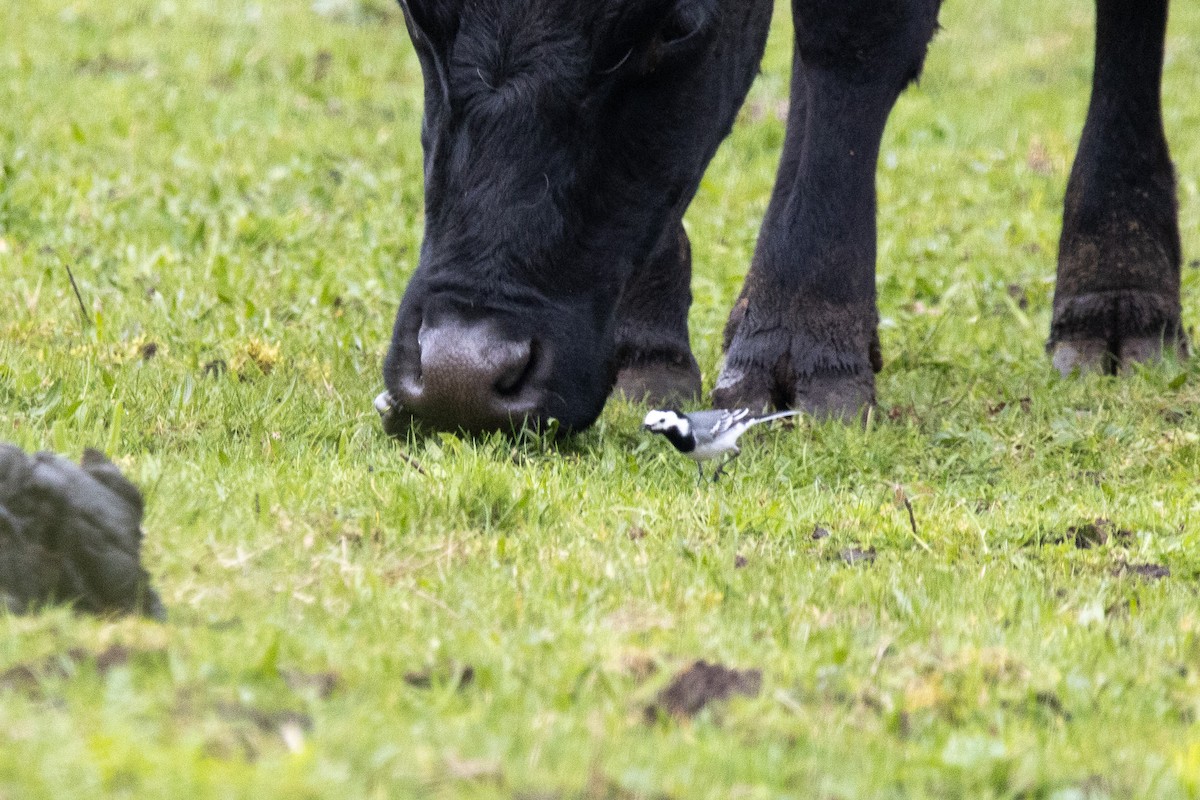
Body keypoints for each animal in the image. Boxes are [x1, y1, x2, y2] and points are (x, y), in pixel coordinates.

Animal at [381, 0, 1180, 434]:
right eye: (417, 11)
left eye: (675, 25)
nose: (459, 374)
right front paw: (647, 348)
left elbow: (849, 34)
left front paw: (800, 335)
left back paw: (1118, 297)